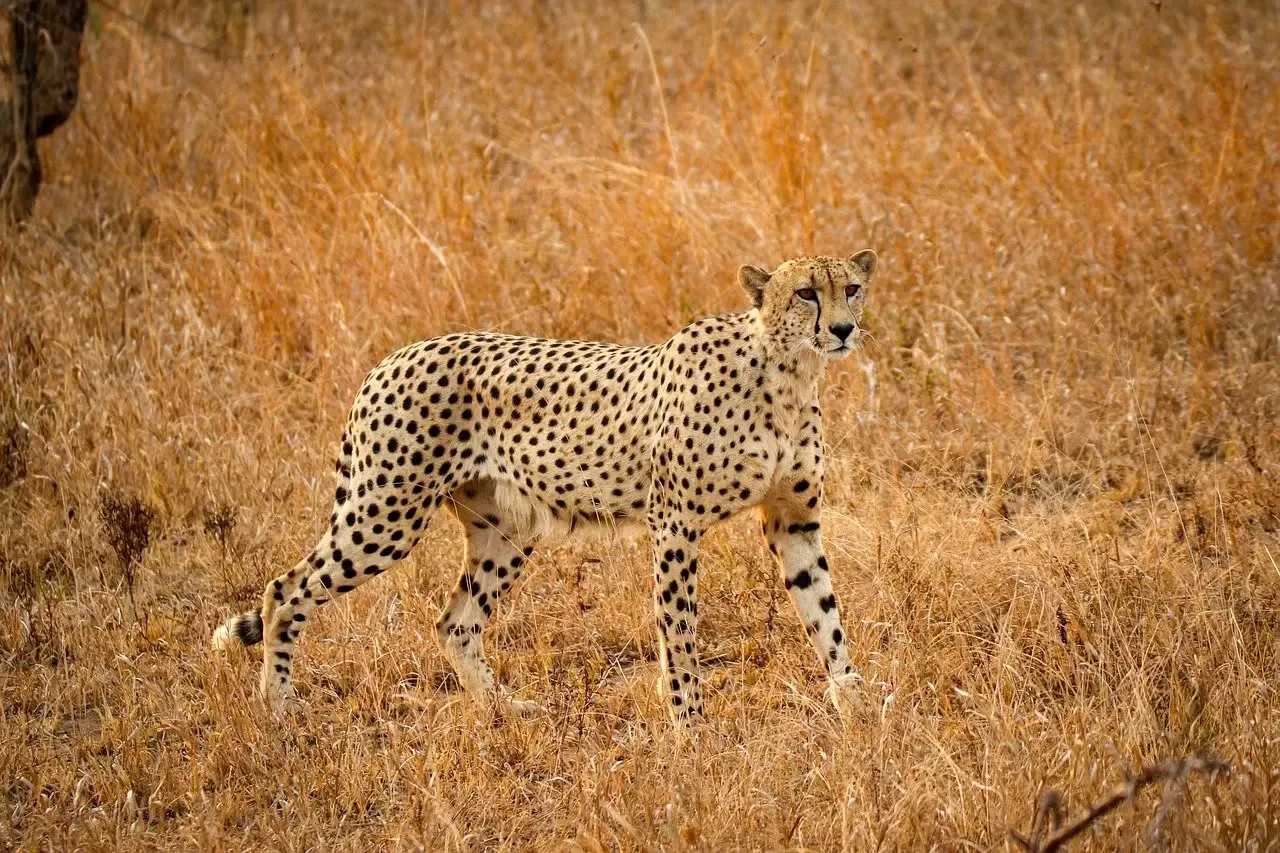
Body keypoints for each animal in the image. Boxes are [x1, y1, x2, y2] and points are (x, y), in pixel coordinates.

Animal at [213, 250, 879, 727]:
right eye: (805, 293)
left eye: (849, 288)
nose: (844, 328)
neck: (786, 373)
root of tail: (395, 355)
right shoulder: (675, 525)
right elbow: (680, 632)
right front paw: (690, 726)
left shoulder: (794, 521)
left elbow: (825, 613)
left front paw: (854, 700)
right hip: (385, 515)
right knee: (284, 590)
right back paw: (279, 706)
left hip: (504, 531)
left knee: (454, 623)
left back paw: (505, 709)